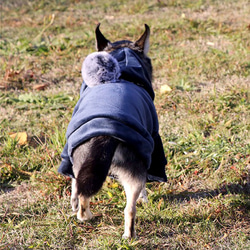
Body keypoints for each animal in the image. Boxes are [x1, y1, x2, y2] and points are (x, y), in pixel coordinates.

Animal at [58, 23, 167, 238]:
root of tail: (105, 134)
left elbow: (74, 184)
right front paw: (145, 198)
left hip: (81, 160)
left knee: (87, 195)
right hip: (135, 169)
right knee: (127, 206)